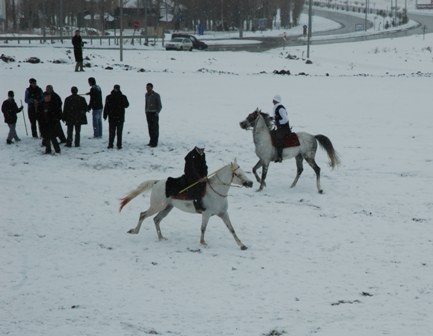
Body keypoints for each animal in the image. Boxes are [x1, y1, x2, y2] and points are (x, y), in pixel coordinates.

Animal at [119, 161, 253, 251]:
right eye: (237, 174)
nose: (250, 183)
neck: (215, 192)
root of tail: (156, 182)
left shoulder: (223, 213)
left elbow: (232, 229)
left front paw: (242, 245)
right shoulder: (206, 213)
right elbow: (203, 228)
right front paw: (203, 243)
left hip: (167, 208)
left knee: (156, 219)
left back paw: (161, 237)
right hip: (157, 206)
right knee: (143, 214)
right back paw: (134, 231)